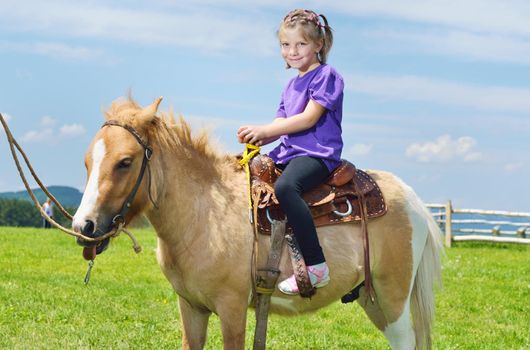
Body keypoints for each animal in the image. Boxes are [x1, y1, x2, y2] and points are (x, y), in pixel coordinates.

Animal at [72, 98, 440, 350]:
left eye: (125, 162)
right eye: (87, 162)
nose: (83, 227)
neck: (204, 211)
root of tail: (414, 200)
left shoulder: (232, 307)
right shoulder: (191, 307)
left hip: (393, 299)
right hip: (370, 297)